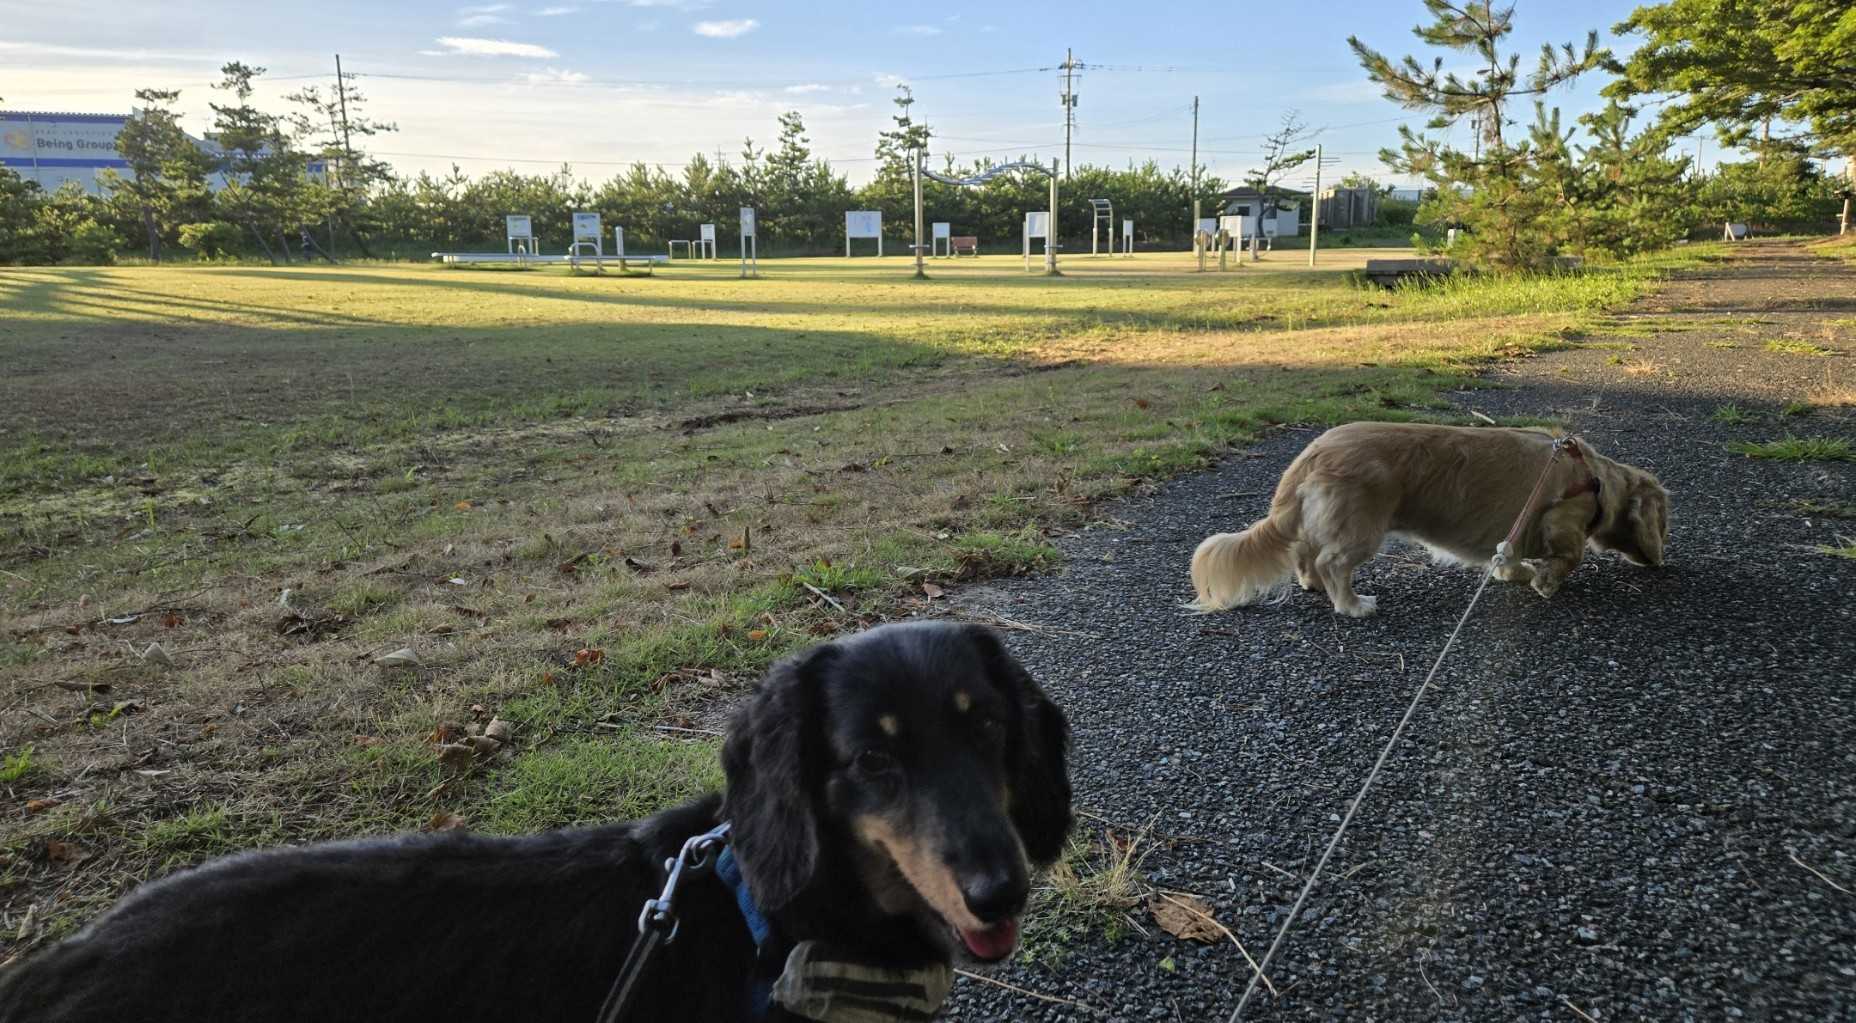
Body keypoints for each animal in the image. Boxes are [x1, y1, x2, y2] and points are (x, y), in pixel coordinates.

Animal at [1189, 422, 1669, 617]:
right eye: (1663, 522)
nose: (1660, 562)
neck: (1594, 478)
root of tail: (1312, 453)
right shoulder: (1561, 518)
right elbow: (1569, 556)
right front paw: (1545, 582)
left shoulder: (1515, 532)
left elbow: (1510, 558)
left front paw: (1515, 573)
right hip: (1362, 528)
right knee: (1332, 562)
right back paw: (1352, 605)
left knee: (1307, 555)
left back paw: (1314, 585)